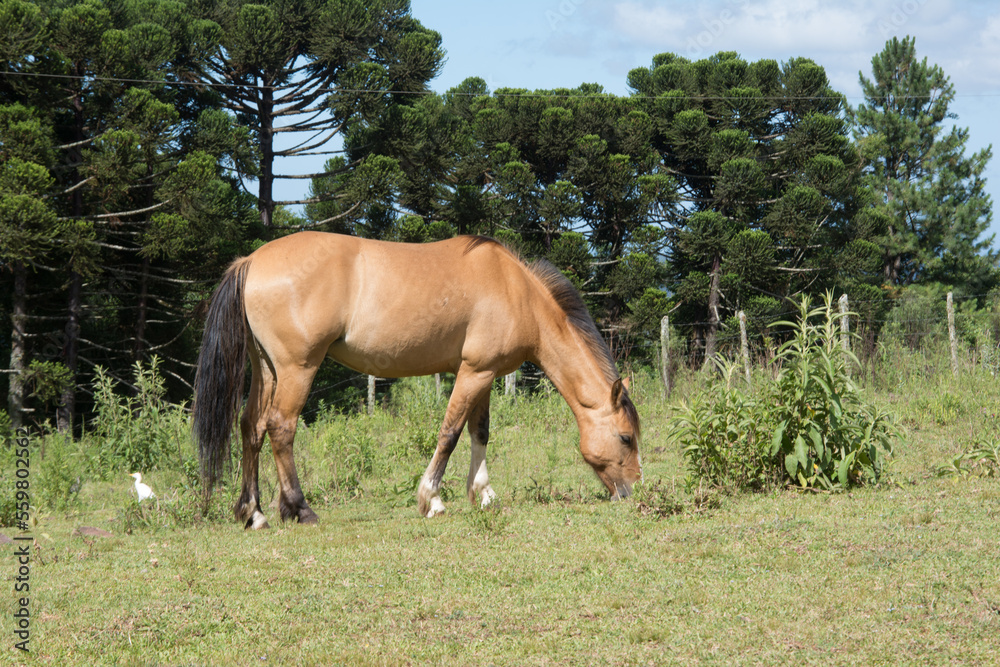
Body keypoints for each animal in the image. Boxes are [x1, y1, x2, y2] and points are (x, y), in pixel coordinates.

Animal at [193, 232, 641, 528]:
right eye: (625, 438)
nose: (631, 492)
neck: (517, 292)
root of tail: (251, 261)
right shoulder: (473, 372)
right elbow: (450, 432)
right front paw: (433, 499)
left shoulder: (484, 374)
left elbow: (480, 432)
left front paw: (483, 494)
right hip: (296, 368)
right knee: (280, 428)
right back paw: (299, 509)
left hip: (266, 369)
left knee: (251, 428)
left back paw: (254, 512)